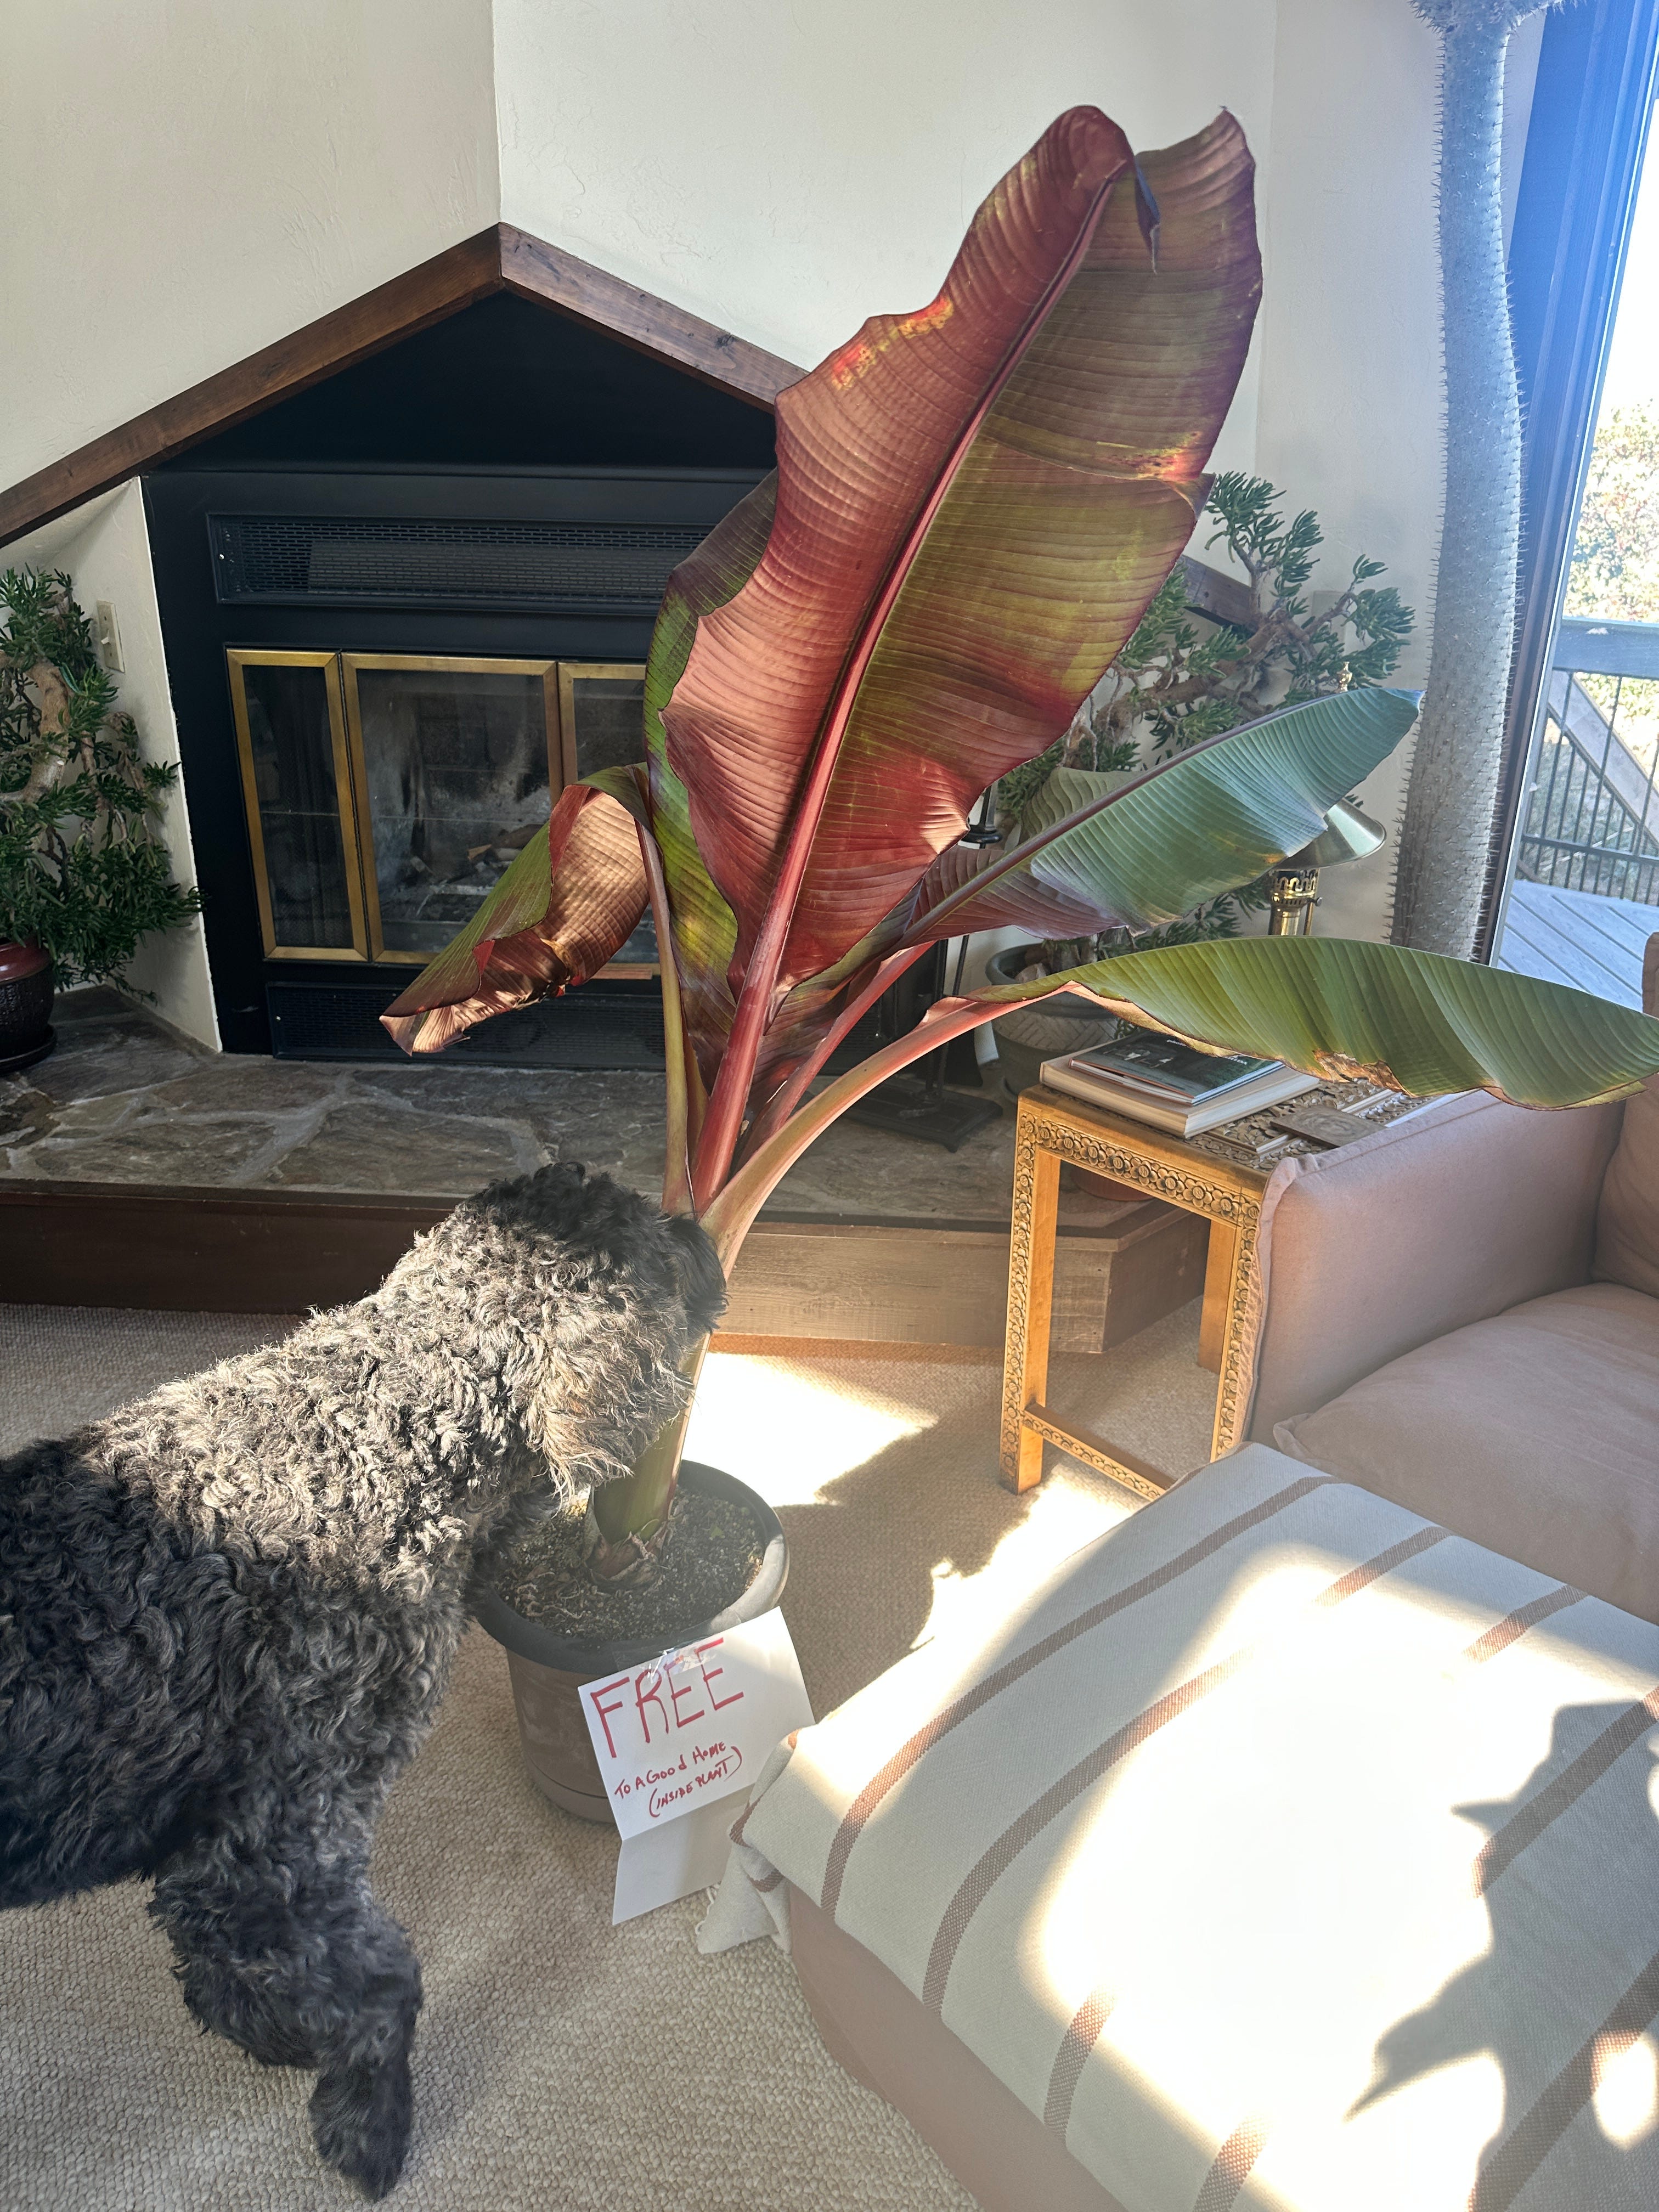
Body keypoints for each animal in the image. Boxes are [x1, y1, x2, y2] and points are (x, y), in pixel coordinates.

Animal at [0, 1162, 725, 2198]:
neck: (374, 1434)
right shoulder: (277, 1846)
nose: (707, 1235)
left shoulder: (223, 1859)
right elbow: (379, 1984)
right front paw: (367, 2119)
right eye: (658, 1238)